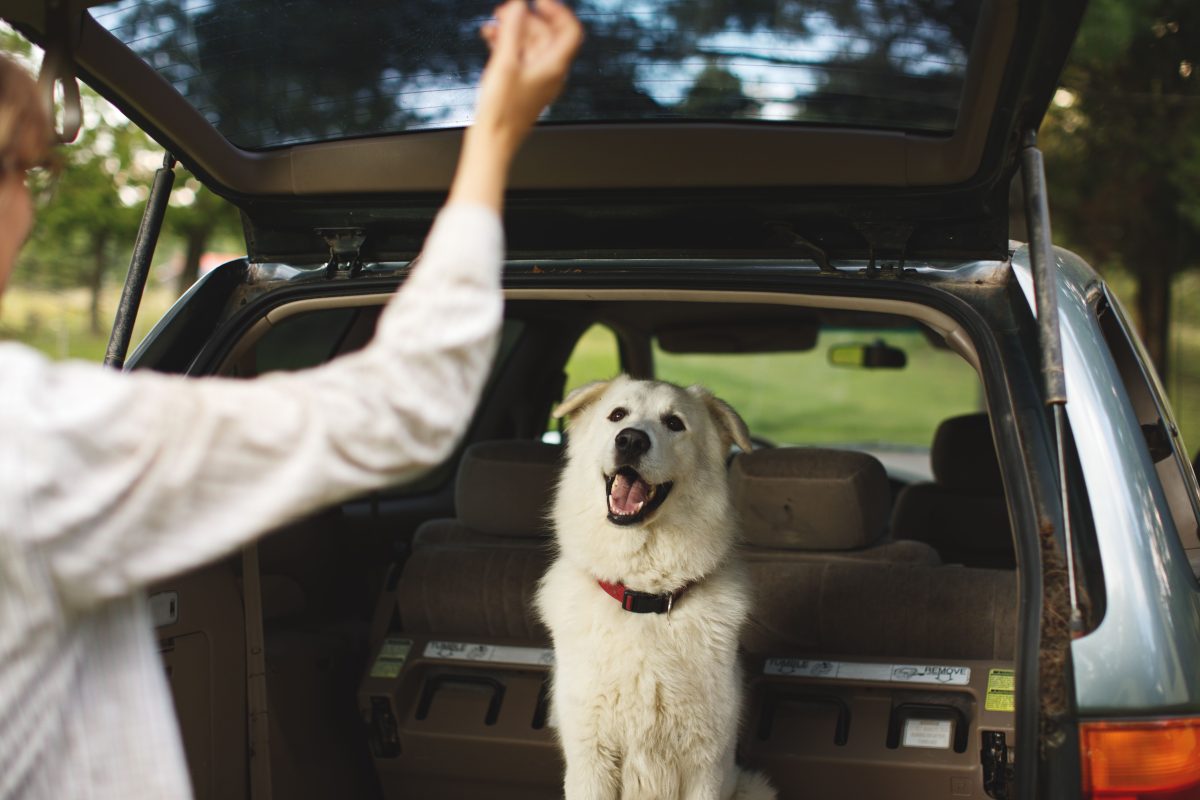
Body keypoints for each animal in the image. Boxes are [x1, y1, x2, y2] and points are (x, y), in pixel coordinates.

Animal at [537, 376, 777, 800]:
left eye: (675, 423)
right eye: (617, 415)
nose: (631, 440)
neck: (642, 597)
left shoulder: (705, 765)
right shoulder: (591, 759)